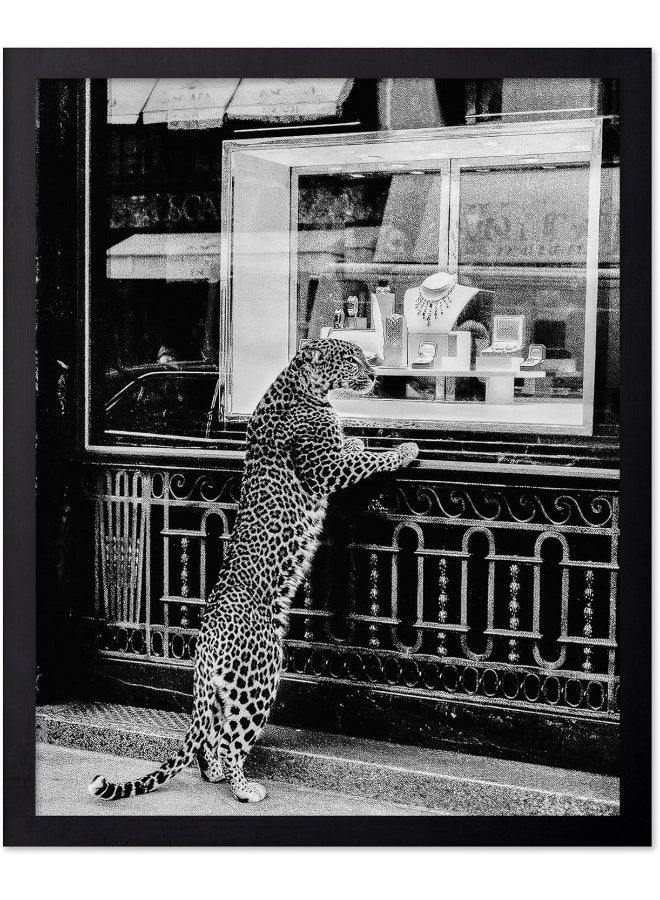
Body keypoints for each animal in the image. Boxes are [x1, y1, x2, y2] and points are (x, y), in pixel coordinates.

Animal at [88, 338, 418, 804]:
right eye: (352, 359)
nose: (373, 376)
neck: (303, 386)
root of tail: (206, 643)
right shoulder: (325, 469)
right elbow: (370, 460)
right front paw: (403, 450)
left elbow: (351, 448)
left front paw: (356, 437)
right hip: (257, 680)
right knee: (231, 741)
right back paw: (244, 788)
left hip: (222, 691)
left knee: (210, 738)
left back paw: (215, 774)